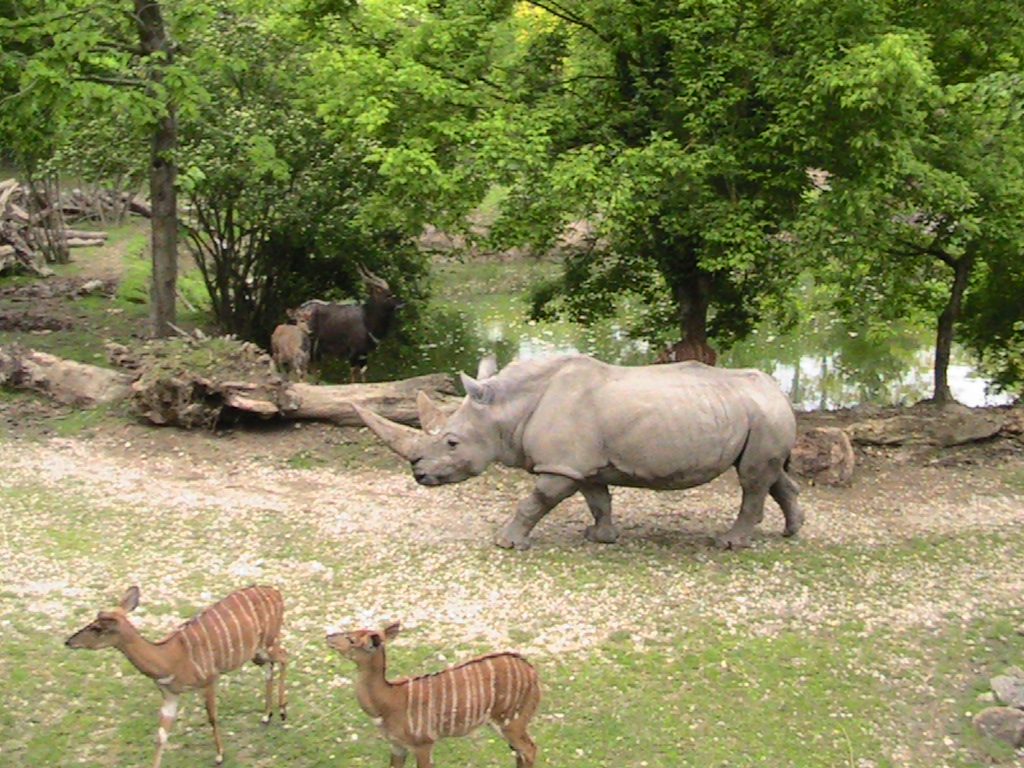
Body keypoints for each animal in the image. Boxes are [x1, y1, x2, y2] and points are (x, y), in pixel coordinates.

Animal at [353, 354, 802, 550]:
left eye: (451, 442)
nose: (418, 474)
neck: (507, 409)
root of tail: (780, 392)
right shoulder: (579, 465)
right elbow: (598, 500)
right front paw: (600, 537)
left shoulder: (561, 467)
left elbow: (533, 503)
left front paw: (506, 542)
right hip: (760, 414)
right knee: (770, 473)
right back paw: (791, 531)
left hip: (762, 414)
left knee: (751, 479)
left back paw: (728, 543)